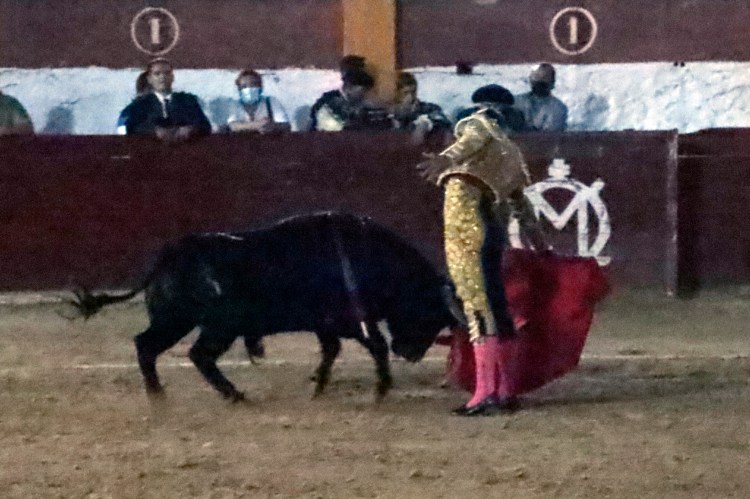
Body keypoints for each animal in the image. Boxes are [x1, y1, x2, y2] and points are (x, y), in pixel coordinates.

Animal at [71, 212, 458, 402]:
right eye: (428, 312)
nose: (410, 353)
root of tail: (168, 257)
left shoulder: (326, 324)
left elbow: (330, 351)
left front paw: (318, 387)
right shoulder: (350, 320)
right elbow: (373, 345)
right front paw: (381, 388)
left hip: (178, 321)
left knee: (149, 346)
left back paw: (160, 394)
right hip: (210, 326)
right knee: (193, 354)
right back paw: (229, 395)